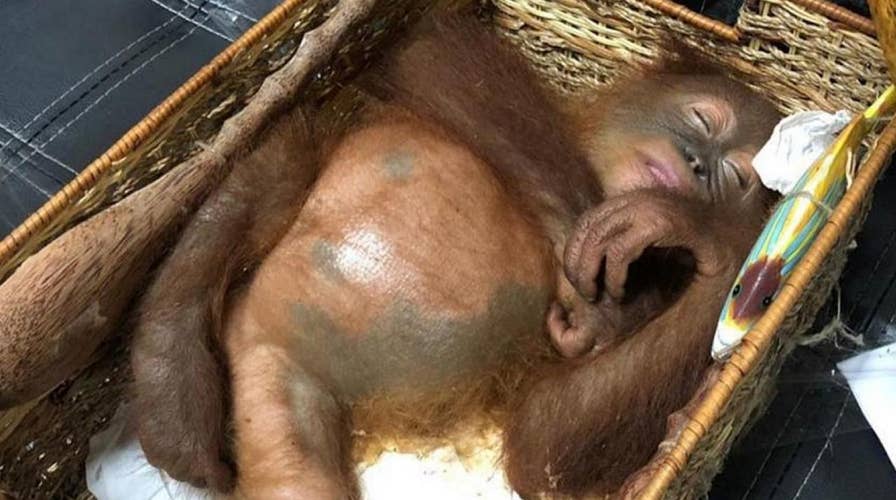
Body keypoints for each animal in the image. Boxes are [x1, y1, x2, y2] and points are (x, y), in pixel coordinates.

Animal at [129, 12, 780, 498]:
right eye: (702, 118)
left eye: (734, 178)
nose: (696, 166)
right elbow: (426, 51)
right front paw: (589, 250)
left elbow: (542, 438)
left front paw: (693, 230)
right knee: (284, 156)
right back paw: (173, 388)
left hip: (277, 394)